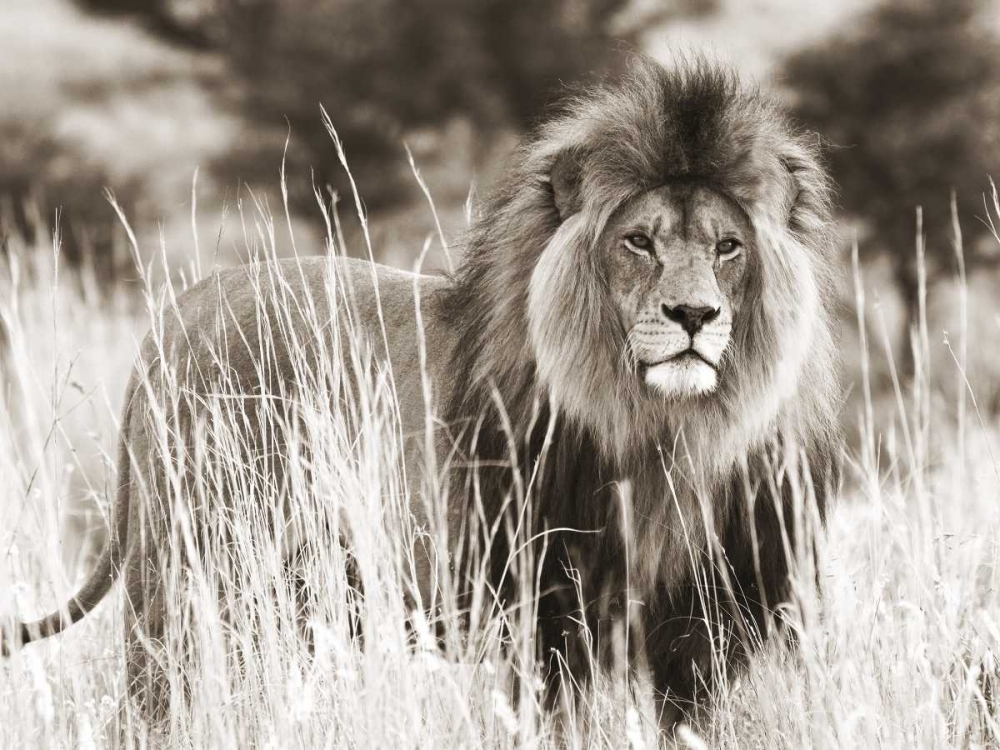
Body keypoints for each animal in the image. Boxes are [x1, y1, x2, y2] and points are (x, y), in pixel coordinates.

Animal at [2, 56, 840, 727]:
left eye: (728, 247)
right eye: (639, 242)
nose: (695, 315)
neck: (665, 432)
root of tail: (174, 316)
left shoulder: (698, 635)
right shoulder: (544, 621)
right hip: (185, 574)